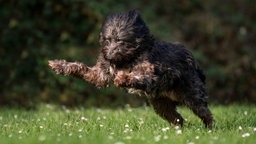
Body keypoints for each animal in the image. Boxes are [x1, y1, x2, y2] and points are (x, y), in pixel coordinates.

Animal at [48, 9, 214, 128]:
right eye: (108, 40)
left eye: (120, 40)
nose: (109, 56)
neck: (127, 58)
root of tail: (194, 63)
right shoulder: (101, 74)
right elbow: (82, 68)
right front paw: (60, 65)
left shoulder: (151, 71)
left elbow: (139, 75)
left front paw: (124, 78)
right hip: (162, 104)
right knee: (177, 118)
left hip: (192, 94)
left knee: (205, 113)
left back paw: (210, 129)